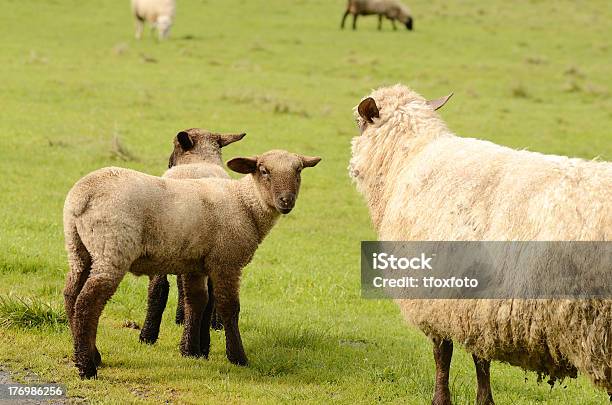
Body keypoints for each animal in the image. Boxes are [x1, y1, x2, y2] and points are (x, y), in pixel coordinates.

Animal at [350, 83, 612, 402]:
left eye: (359, 123)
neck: (408, 160)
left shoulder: (435, 296)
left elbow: (442, 354)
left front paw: (441, 399)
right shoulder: (476, 305)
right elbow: (481, 359)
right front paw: (485, 400)